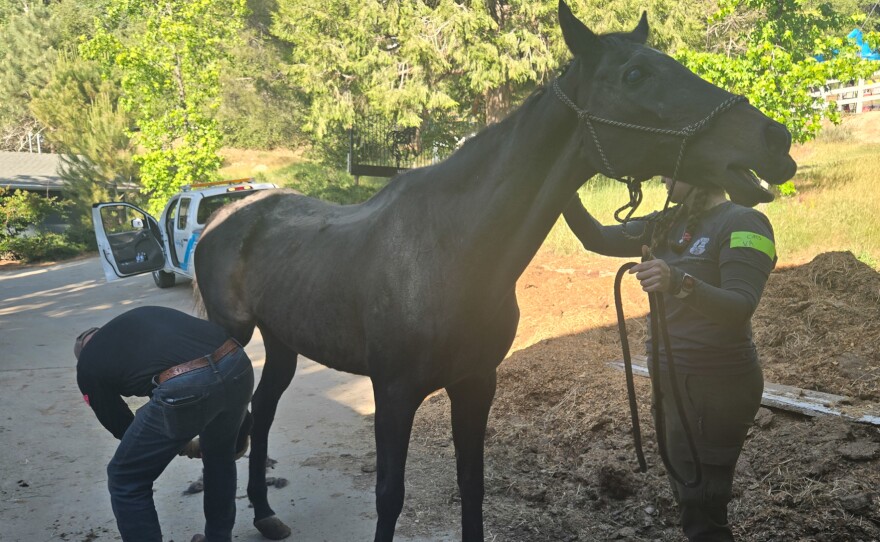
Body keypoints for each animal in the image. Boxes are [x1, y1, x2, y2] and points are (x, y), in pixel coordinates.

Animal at [193, 2, 796, 540]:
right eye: (635, 73)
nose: (776, 139)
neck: (454, 250)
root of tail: (223, 216)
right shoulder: (393, 393)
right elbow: (389, 496)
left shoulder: (476, 383)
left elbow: (472, 485)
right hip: (234, 337)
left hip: (283, 343)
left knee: (263, 411)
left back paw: (265, 515)